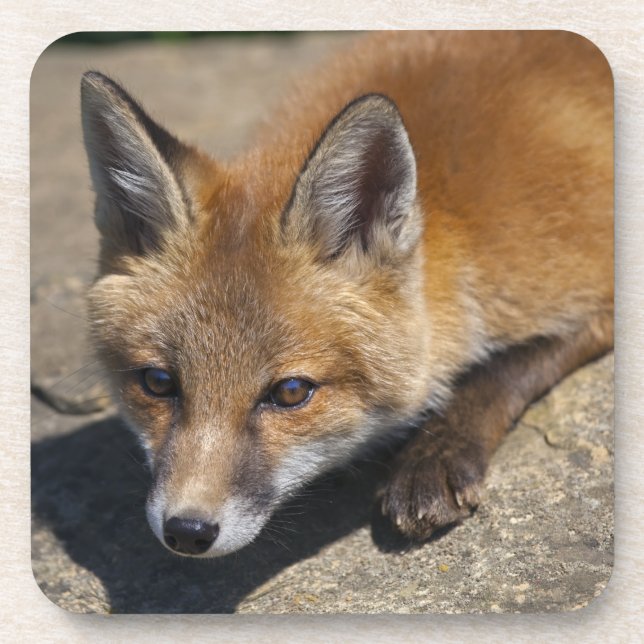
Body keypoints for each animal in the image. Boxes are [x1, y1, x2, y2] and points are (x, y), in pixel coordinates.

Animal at [80, 31, 613, 558]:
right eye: (157, 382)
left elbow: (501, 370)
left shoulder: (591, 287)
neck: (460, 230)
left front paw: (435, 454)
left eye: (291, 392)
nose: (187, 531)